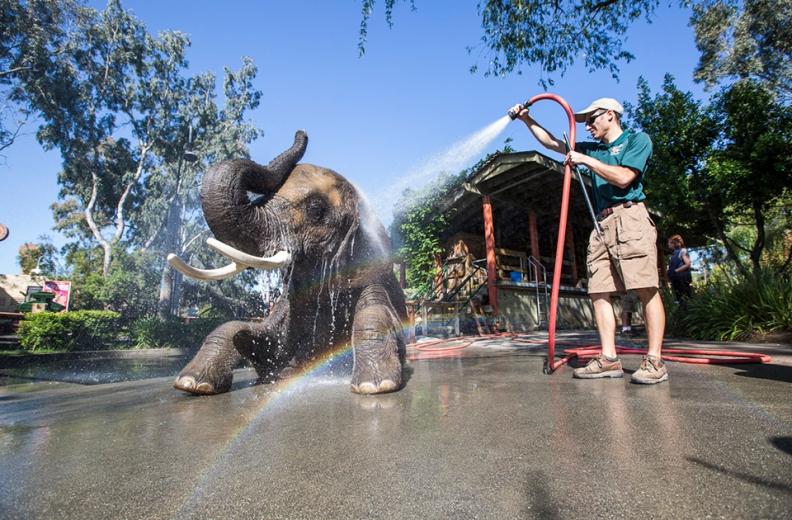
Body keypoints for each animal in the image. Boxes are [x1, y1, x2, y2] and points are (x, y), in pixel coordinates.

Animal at [166, 132, 402, 396]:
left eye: (316, 210)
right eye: (262, 199)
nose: (301, 134)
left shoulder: (371, 276)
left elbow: (373, 314)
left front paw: (374, 386)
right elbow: (238, 326)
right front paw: (192, 383)